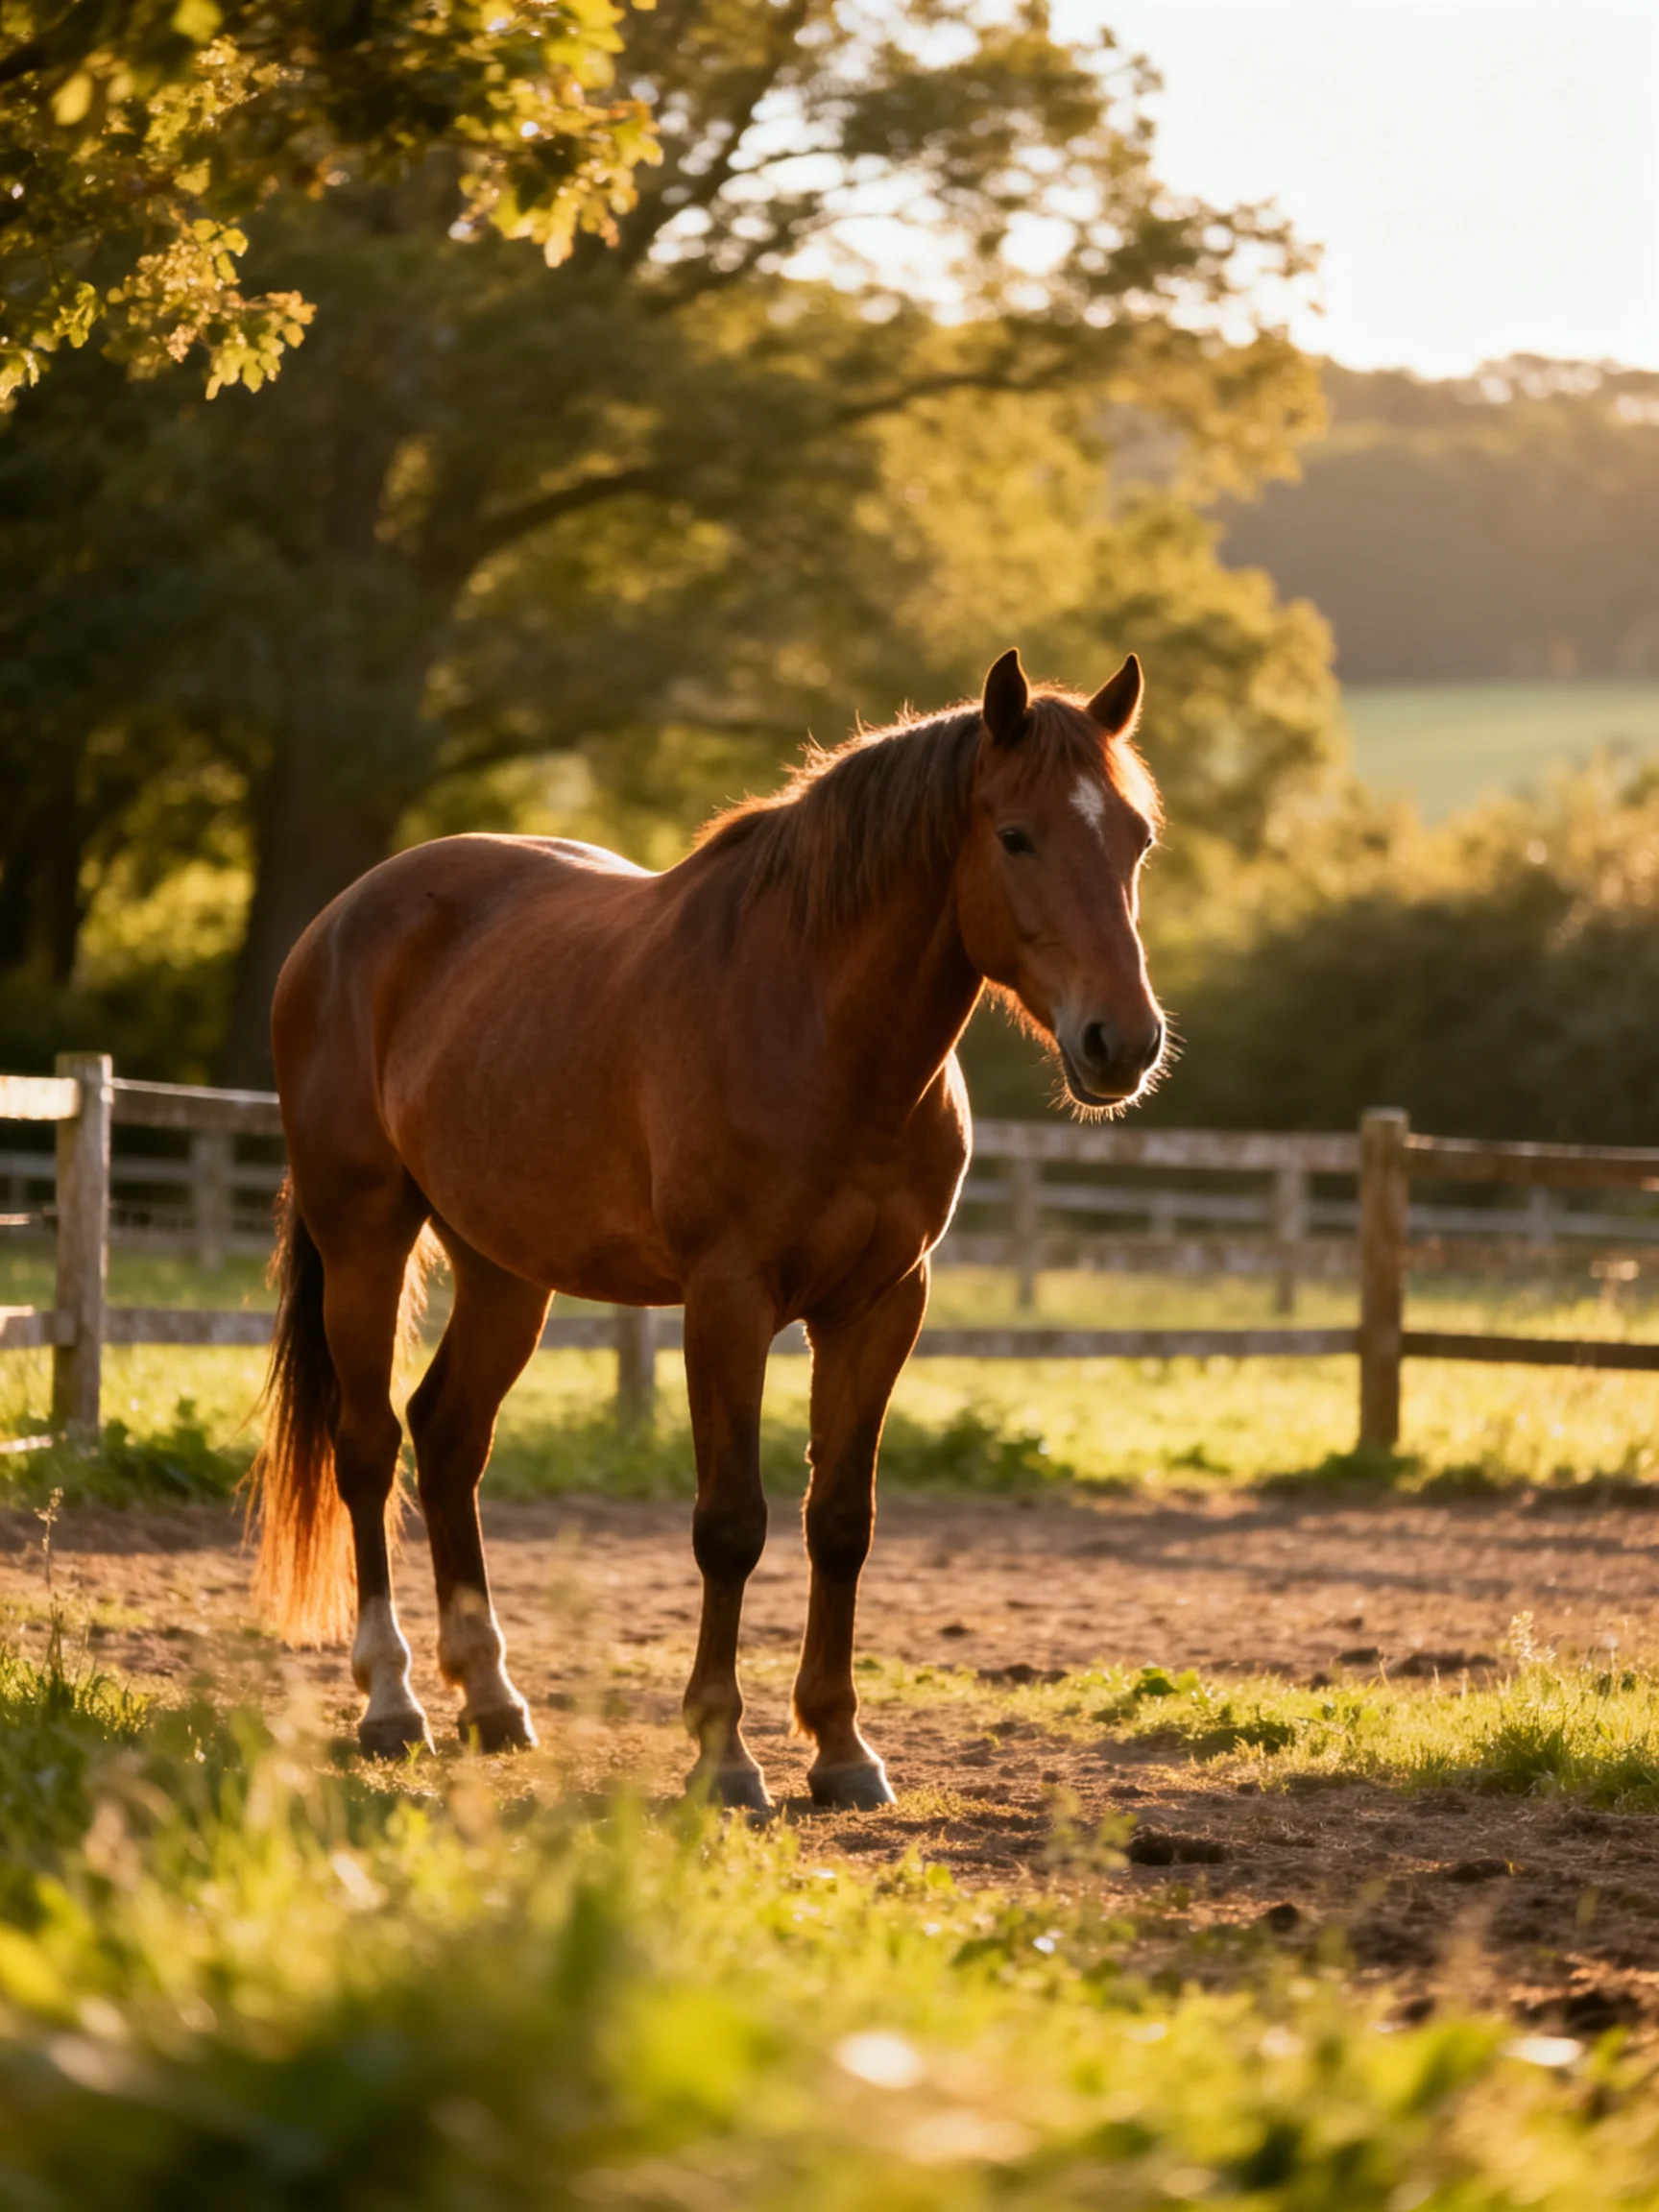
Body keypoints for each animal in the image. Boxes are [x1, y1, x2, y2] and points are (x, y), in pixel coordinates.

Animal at [251, 646, 1165, 1811]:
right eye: (1016, 835)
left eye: (1136, 839)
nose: (1122, 1042)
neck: (820, 1032)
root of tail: (340, 922)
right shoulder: (726, 1302)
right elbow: (731, 1525)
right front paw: (724, 1753)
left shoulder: (882, 1306)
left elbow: (841, 1522)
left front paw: (841, 1747)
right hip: (364, 1233)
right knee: (368, 1448)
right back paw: (392, 1701)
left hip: (504, 1271)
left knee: (449, 1437)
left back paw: (492, 1699)